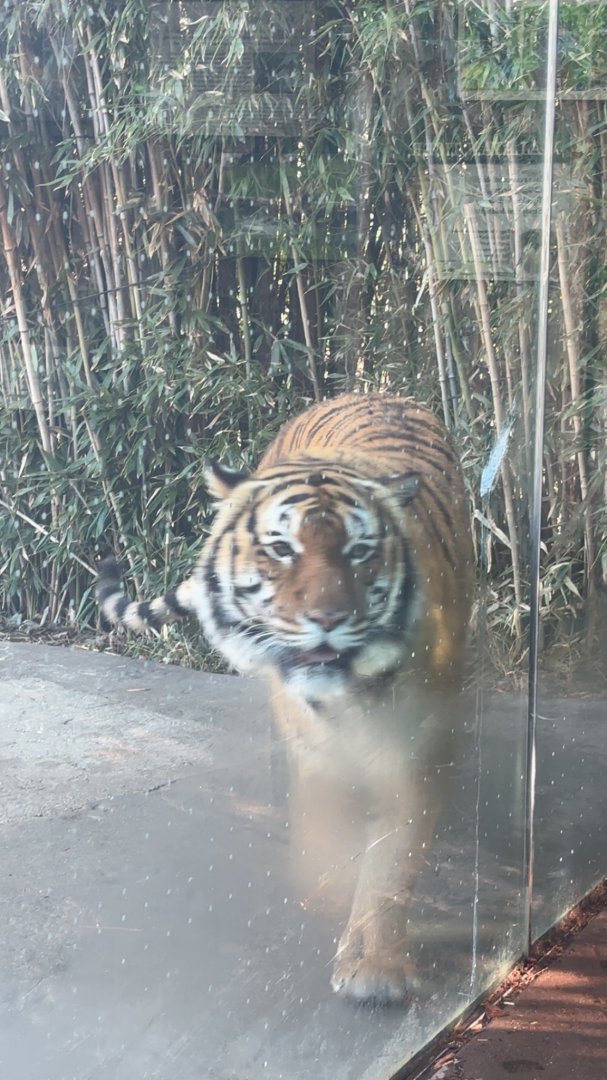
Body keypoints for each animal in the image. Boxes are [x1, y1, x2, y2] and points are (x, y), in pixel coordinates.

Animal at [97, 393, 474, 1004]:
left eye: (360, 551)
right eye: (281, 549)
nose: (327, 618)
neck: (354, 693)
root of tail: (367, 392)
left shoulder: (417, 749)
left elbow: (391, 860)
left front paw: (376, 967)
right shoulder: (316, 750)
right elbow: (329, 834)